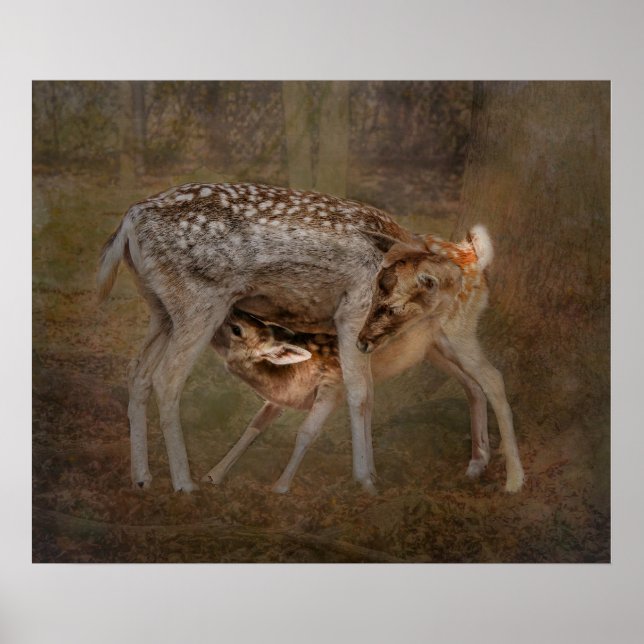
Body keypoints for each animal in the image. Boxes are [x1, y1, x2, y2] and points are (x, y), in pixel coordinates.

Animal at [206, 305, 489, 493]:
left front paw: (281, 485)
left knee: (485, 379)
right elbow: (254, 426)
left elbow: (306, 431)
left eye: (236, 329)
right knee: (474, 387)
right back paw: (477, 464)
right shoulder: (280, 400)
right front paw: (213, 475)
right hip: (432, 351)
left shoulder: (333, 385)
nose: (230, 309)